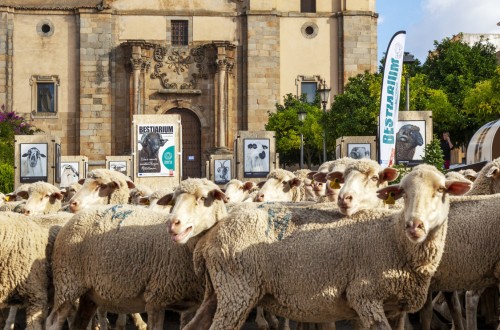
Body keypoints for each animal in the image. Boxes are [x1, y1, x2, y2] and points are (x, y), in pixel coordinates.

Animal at [46, 179, 228, 330]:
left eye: (203, 198)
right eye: (174, 201)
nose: (173, 224)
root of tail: (72, 218)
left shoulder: (191, 305)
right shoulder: (156, 298)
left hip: (89, 294)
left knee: (79, 323)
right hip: (67, 283)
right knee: (53, 321)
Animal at [171, 164, 468, 330]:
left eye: (441, 190)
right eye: (403, 193)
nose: (414, 225)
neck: (394, 239)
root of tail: (209, 236)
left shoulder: (395, 308)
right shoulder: (365, 297)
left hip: (218, 292)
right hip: (237, 291)